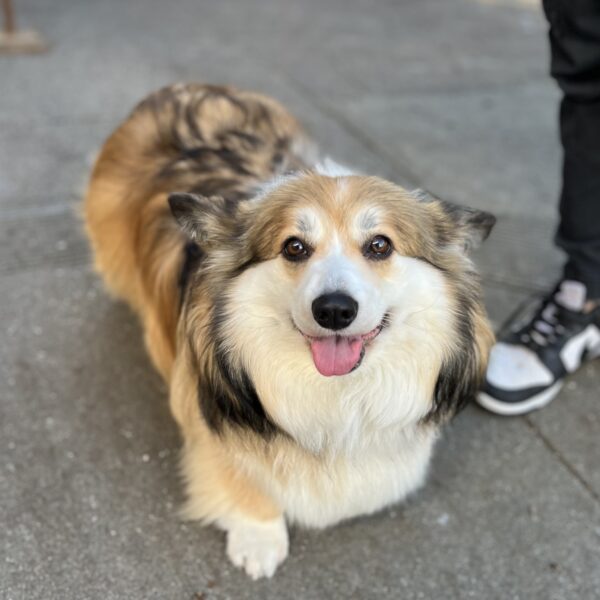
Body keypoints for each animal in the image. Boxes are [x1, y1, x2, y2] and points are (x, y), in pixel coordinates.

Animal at [84, 83, 496, 576]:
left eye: (380, 245)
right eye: (294, 247)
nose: (334, 310)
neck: (337, 394)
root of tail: (182, 88)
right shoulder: (210, 413)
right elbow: (241, 475)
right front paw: (259, 540)